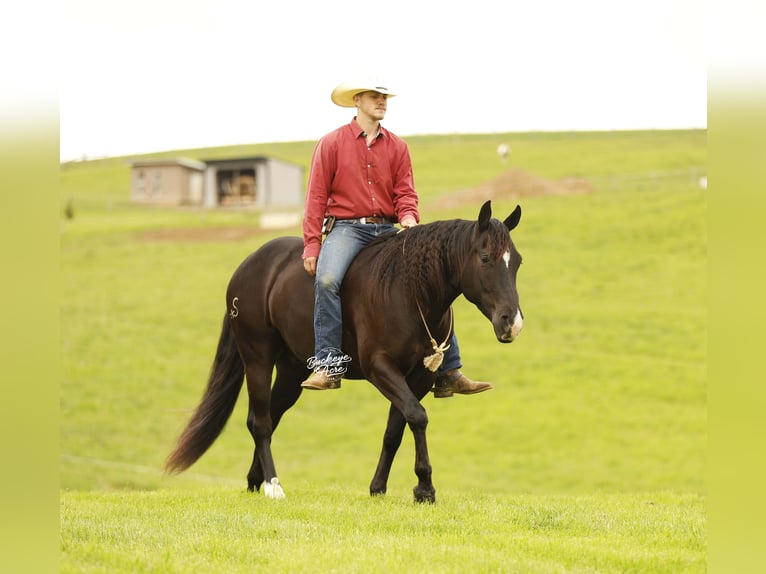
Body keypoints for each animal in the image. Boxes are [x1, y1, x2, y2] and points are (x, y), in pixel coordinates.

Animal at [165, 200, 523, 503]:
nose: (512, 322)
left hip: (292, 371)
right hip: (257, 359)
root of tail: (248, 267)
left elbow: (397, 427)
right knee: (262, 422)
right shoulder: (380, 368)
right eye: (486, 258)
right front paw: (424, 488)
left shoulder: (418, 376)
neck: (406, 289)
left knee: (269, 416)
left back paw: (257, 481)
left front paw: (378, 488)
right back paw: (273, 485)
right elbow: (417, 417)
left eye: (517, 262)